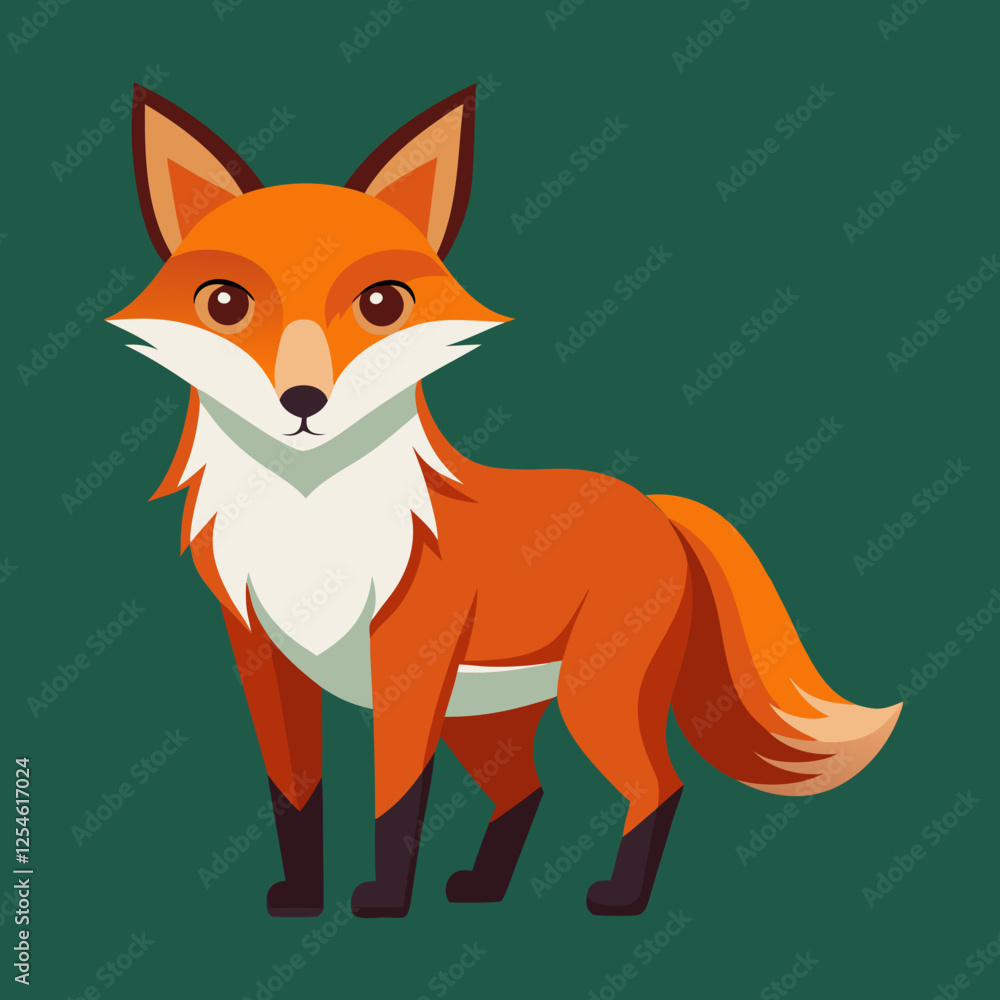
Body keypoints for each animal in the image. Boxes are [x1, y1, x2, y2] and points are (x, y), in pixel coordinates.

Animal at [109, 84, 901, 919]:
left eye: (382, 303)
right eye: (225, 303)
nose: (303, 401)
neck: (311, 519)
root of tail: (655, 506)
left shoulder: (408, 662)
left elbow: (394, 799)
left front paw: (384, 902)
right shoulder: (262, 658)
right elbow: (294, 794)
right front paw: (300, 898)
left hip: (592, 694)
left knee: (659, 783)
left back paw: (619, 897)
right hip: (486, 719)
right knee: (527, 789)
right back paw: (484, 888)